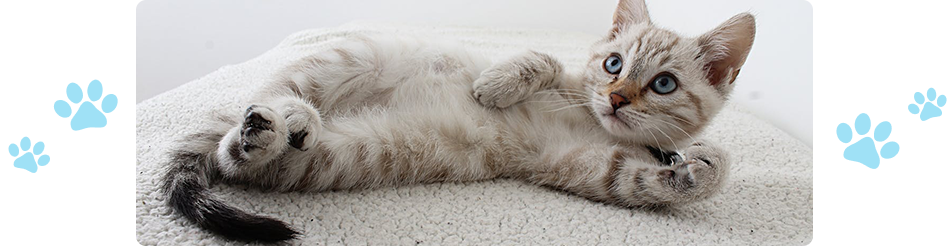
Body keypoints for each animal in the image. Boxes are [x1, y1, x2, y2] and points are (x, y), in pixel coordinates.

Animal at [163, 0, 756, 242]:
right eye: (613, 64)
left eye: (663, 84)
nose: (615, 99)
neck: (594, 124)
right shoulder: (569, 80)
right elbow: (542, 61)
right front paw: (495, 85)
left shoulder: (588, 168)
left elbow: (643, 179)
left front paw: (699, 166)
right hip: (348, 58)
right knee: (270, 93)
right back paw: (286, 113)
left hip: (331, 157)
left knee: (234, 156)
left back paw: (265, 135)